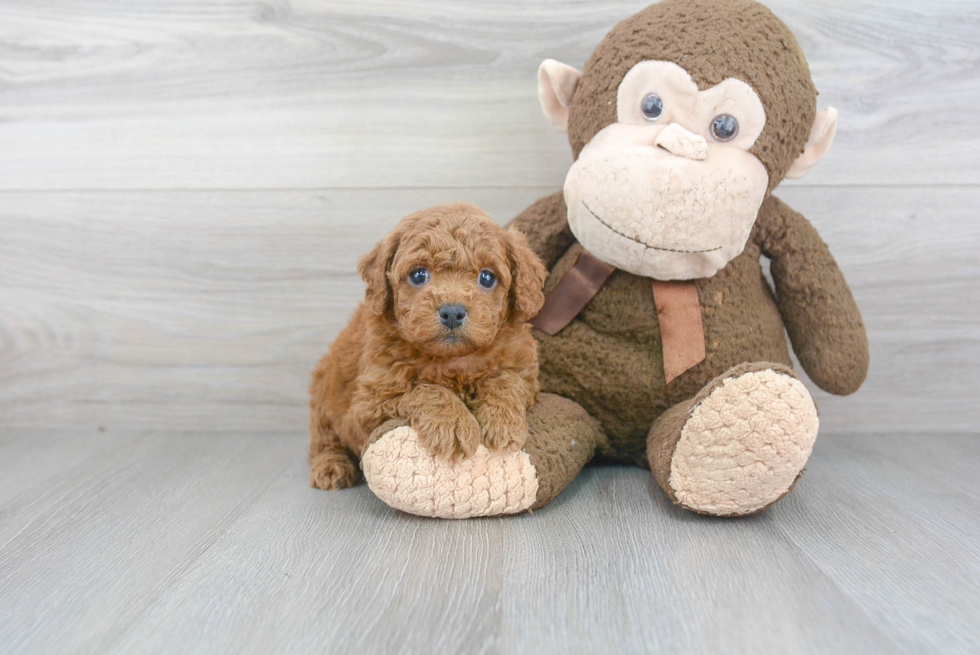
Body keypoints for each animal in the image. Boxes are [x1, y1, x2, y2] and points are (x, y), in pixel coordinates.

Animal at [308, 202, 548, 490]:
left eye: (487, 278)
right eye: (419, 275)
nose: (453, 312)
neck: (452, 360)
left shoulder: (527, 376)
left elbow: (506, 379)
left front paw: (503, 422)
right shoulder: (367, 406)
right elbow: (424, 390)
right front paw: (453, 426)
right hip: (324, 393)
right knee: (323, 439)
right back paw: (331, 467)